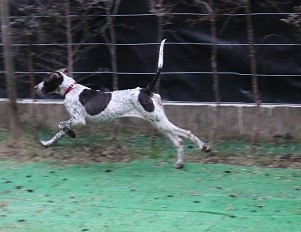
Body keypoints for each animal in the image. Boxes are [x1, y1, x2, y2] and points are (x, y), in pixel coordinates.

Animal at [35, 40, 209, 169]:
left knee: (186, 133)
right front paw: (48, 143)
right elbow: (58, 134)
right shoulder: (74, 119)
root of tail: (145, 90)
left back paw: (203, 147)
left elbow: (61, 125)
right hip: (158, 122)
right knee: (178, 140)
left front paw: (70, 133)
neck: (70, 89)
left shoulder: (79, 120)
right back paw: (180, 163)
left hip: (160, 121)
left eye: (45, 80)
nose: (36, 87)